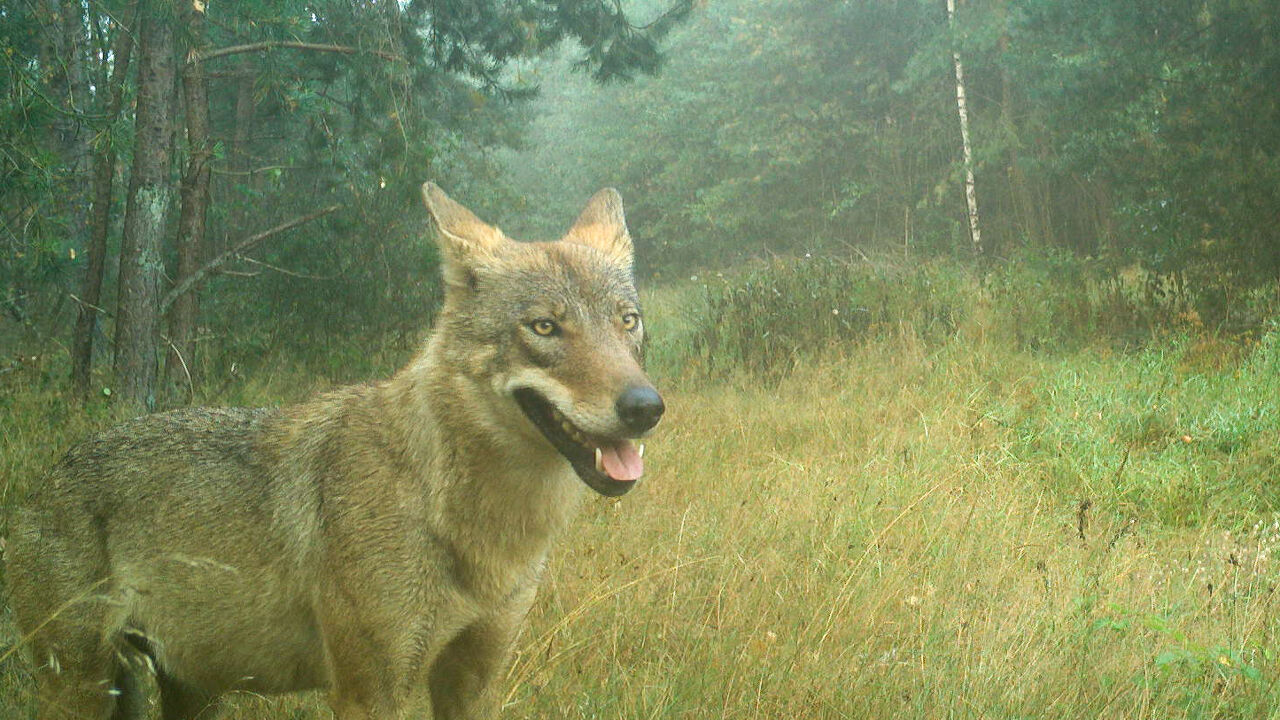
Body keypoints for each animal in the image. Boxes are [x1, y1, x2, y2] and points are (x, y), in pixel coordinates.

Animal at [5, 183, 664, 720]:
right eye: (544, 328)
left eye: (627, 321)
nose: (645, 406)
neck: (474, 527)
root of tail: (46, 479)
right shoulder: (369, 691)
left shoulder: (473, 682)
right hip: (83, 689)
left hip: (192, 693)